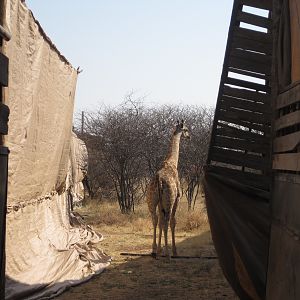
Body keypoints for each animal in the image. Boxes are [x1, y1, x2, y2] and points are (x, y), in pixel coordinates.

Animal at [147, 119, 190, 258]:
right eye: (186, 129)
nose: (189, 136)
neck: (172, 162)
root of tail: (159, 180)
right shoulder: (177, 197)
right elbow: (173, 222)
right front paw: (174, 250)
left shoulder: (160, 202)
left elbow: (160, 222)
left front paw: (159, 249)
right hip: (169, 200)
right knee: (167, 221)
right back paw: (168, 254)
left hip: (151, 201)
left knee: (155, 220)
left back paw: (154, 250)